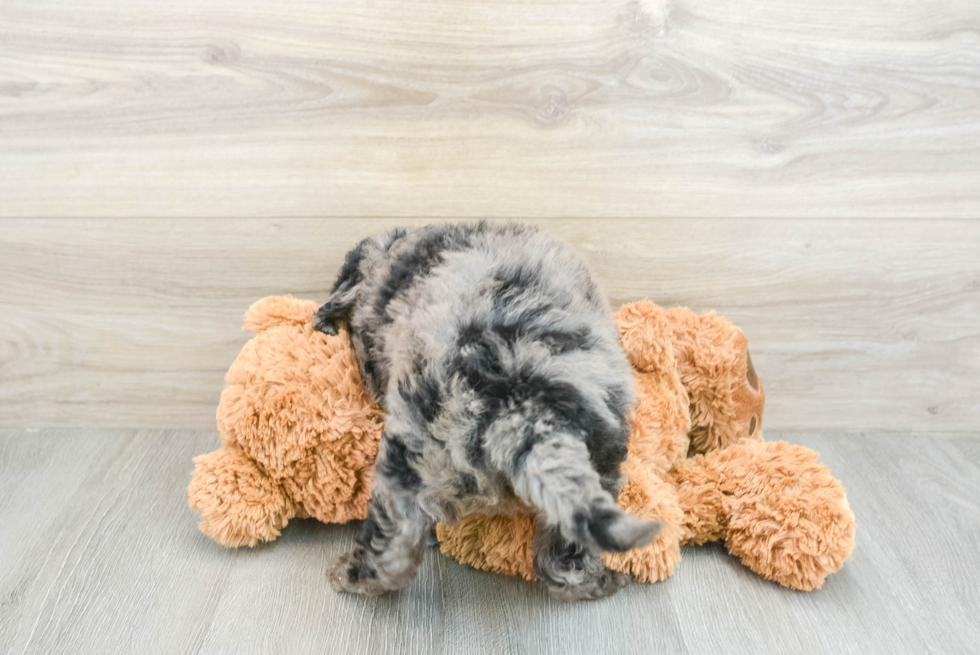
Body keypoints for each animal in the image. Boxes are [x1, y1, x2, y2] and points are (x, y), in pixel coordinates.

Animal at [318, 223, 664, 604]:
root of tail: (520, 407)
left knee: (390, 550)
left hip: (410, 463)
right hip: (598, 463)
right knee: (562, 562)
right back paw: (602, 581)